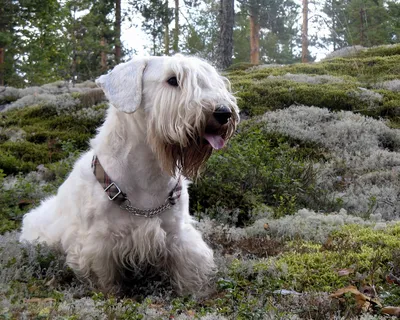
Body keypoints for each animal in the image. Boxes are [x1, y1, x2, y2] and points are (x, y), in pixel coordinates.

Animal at [20, 54, 239, 296]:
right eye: (173, 80)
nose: (224, 112)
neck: (148, 173)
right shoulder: (97, 244)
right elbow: (105, 279)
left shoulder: (177, 232)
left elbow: (188, 269)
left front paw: (196, 293)